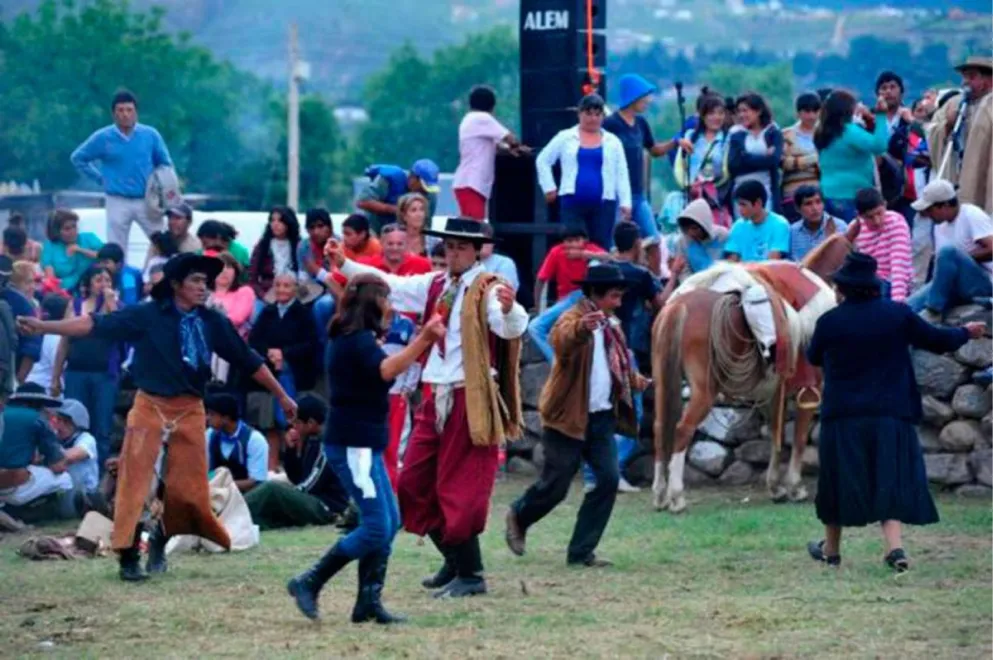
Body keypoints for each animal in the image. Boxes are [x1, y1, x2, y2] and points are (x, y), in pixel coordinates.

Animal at [652, 229, 852, 512]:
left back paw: (660, 493)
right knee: (682, 429)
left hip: (662, 380)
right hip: (704, 390)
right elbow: (799, 438)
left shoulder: (775, 393)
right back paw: (676, 496)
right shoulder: (808, 391)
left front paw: (775, 487)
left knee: (661, 427)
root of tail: (679, 306)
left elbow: (776, 434)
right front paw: (794, 486)